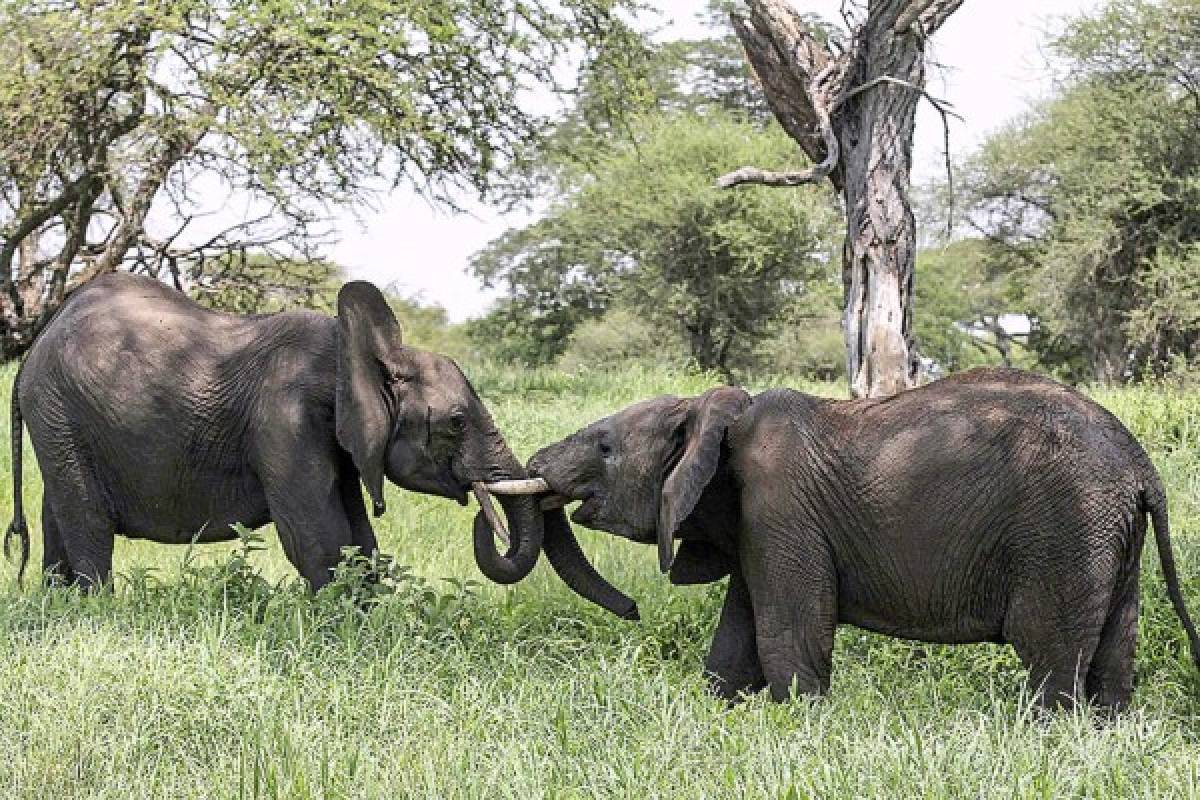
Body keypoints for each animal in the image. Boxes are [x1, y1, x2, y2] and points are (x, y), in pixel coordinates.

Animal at [2, 272, 638, 618]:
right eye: (457, 422)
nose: (634, 611)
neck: (361, 353)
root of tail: (34, 348)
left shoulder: (345, 441)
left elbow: (360, 538)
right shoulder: (284, 420)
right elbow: (319, 537)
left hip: (59, 419)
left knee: (58, 514)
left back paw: (60, 606)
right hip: (60, 410)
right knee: (88, 522)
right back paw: (96, 611)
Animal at [523, 369, 1200, 714]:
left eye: (605, 447)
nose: (632, 610)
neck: (714, 412)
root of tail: (1141, 466)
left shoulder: (780, 508)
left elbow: (788, 631)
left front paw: (800, 727)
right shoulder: (754, 523)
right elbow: (736, 640)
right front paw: (719, 718)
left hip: (1067, 528)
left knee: (1049, 649)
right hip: (1110, 534)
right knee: (1115, 648)